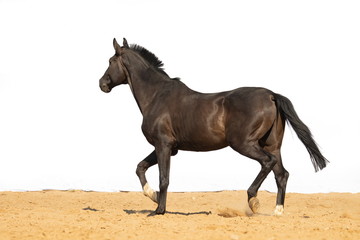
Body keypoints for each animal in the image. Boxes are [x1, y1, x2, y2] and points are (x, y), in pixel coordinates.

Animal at [99, 38, 330, 216]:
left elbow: (163, 178)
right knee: (281, 174)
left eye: (110, 61)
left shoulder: (163, 145)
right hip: (272, 145)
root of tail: (271, 95)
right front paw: (153, 197)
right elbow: (140, 167)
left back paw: (253, 201)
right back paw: (277, 211)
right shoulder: (170, 148)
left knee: (267, 163)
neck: (157, 95)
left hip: (244, 144)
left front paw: (159, 210)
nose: (102, 84)